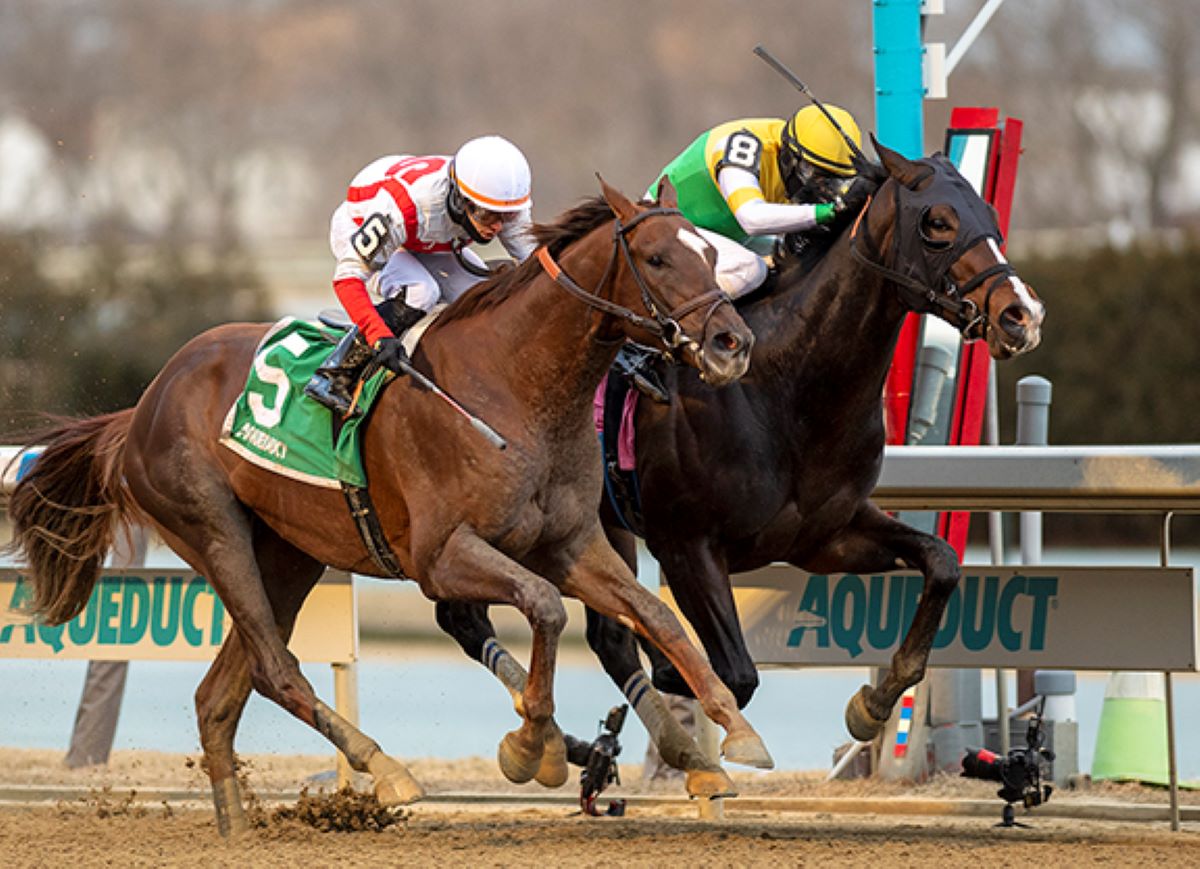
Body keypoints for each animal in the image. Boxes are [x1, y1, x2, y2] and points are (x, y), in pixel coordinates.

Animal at [2, 177, 768, 835]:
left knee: (220, 695)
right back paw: (387, 769)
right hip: (213, 531)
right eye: (658, 257)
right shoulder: (441, 556)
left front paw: (731, 737)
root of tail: (141, 407)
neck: (515, 385)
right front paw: (534, 745)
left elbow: (654, 617)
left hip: (288, 553)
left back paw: (238, 828)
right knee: (275, 669)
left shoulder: (570, 544)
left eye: (709, 251)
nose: (732, 342)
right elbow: (545, 607)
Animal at [436, 137, 1046, 782]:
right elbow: (732, 671)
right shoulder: (687, 545)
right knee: (470, 617)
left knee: (592, 635)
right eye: (937, 223)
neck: (785, 388)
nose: (1021, 314)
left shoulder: (825, 538)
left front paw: (871, 704)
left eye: (989, 213)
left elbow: (942, 562)